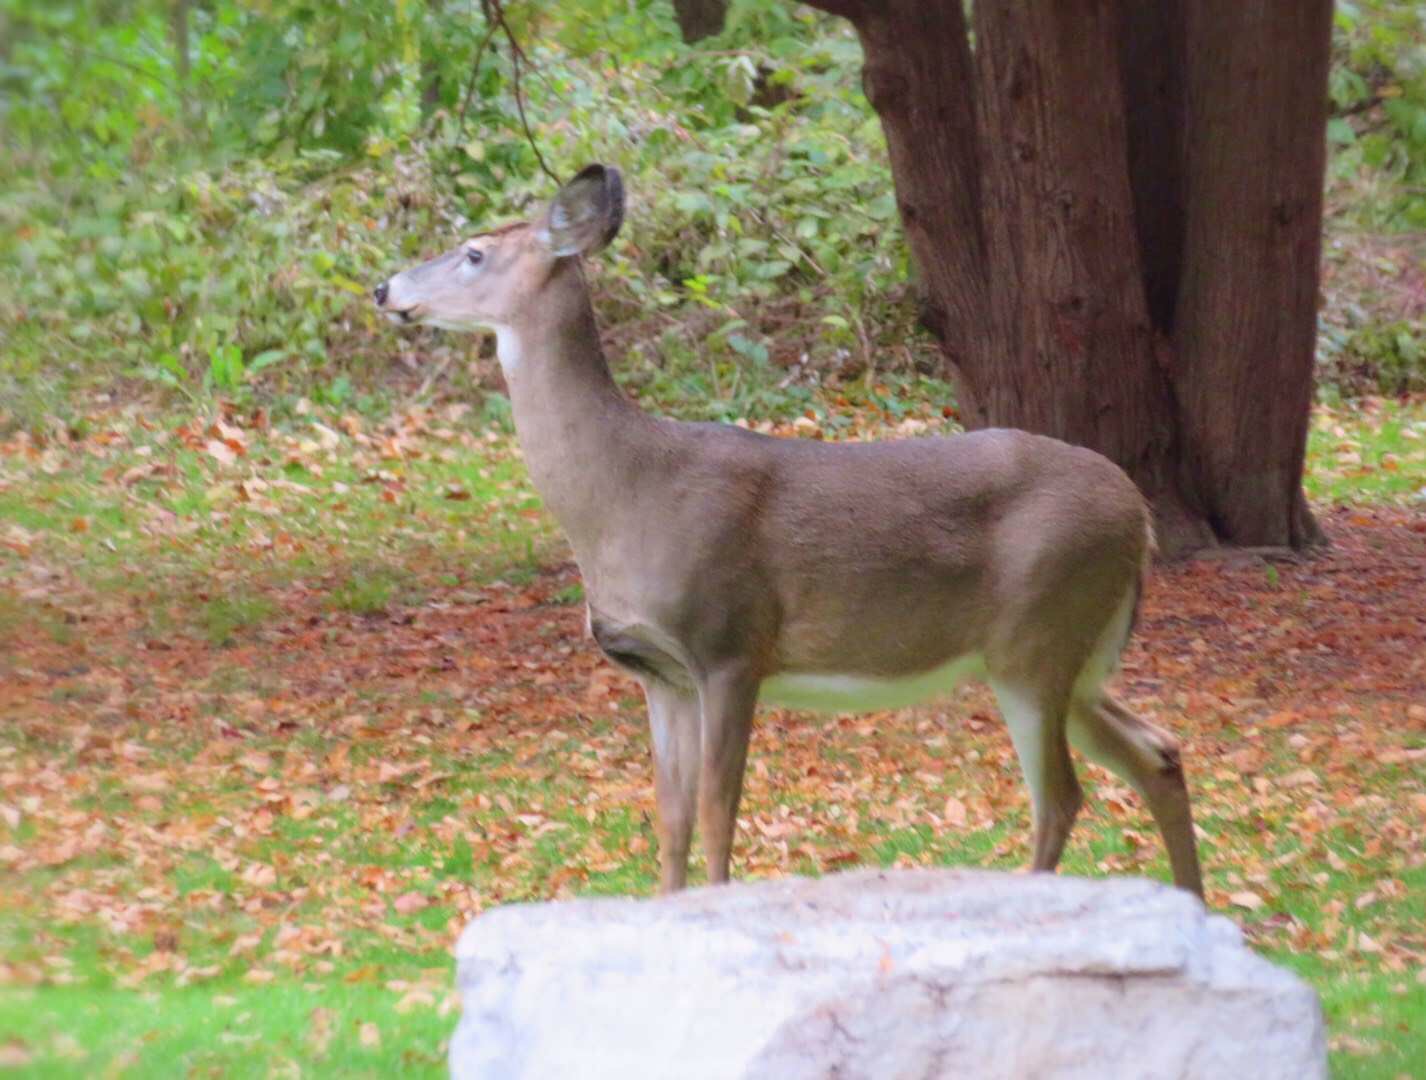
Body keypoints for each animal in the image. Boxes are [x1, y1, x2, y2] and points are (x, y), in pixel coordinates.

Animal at [370, 164, 1203, 895]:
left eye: (474, 252)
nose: (385, 288)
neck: (622, 495)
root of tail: (1140, 517)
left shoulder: (730, 644)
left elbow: (717, 814)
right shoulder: (658, 673)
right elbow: (670, 819)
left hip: (1037, 631)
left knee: (1061, 796)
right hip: (1076, 656)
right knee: (1158, 751)